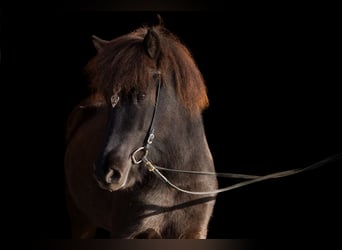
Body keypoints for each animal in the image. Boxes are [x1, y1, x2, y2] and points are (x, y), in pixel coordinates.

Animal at [63, 21, 219, 238]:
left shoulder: (194, 232)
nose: (106, 172)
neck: (176, 180)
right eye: (109, 99)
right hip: (81, 221)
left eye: (142, 95)